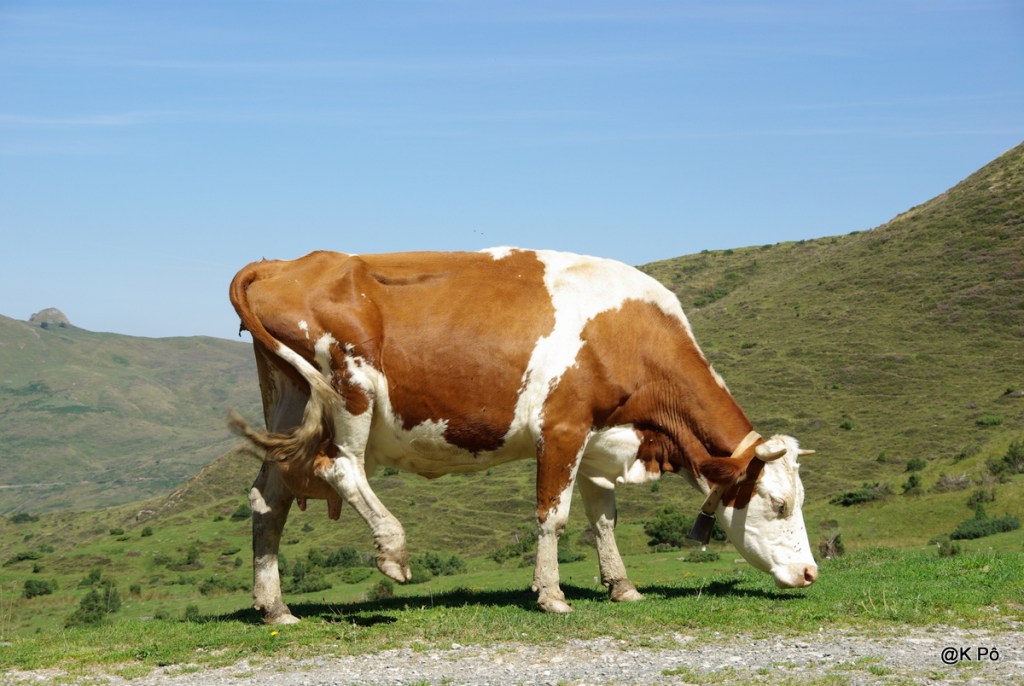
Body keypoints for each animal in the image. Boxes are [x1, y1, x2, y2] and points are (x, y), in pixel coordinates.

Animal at [229, 247, 818, 623]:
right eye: (780, 503)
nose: (811, 573)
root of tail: (287, 263)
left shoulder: (601, 441)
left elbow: (603, 520)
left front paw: (622, 586)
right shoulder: (562, 428)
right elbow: (552, 515)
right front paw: (552, 595)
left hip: (292, 406)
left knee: (269, 500)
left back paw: (275, 608)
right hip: (350, 391)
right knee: (339, 467)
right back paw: (392, 549)